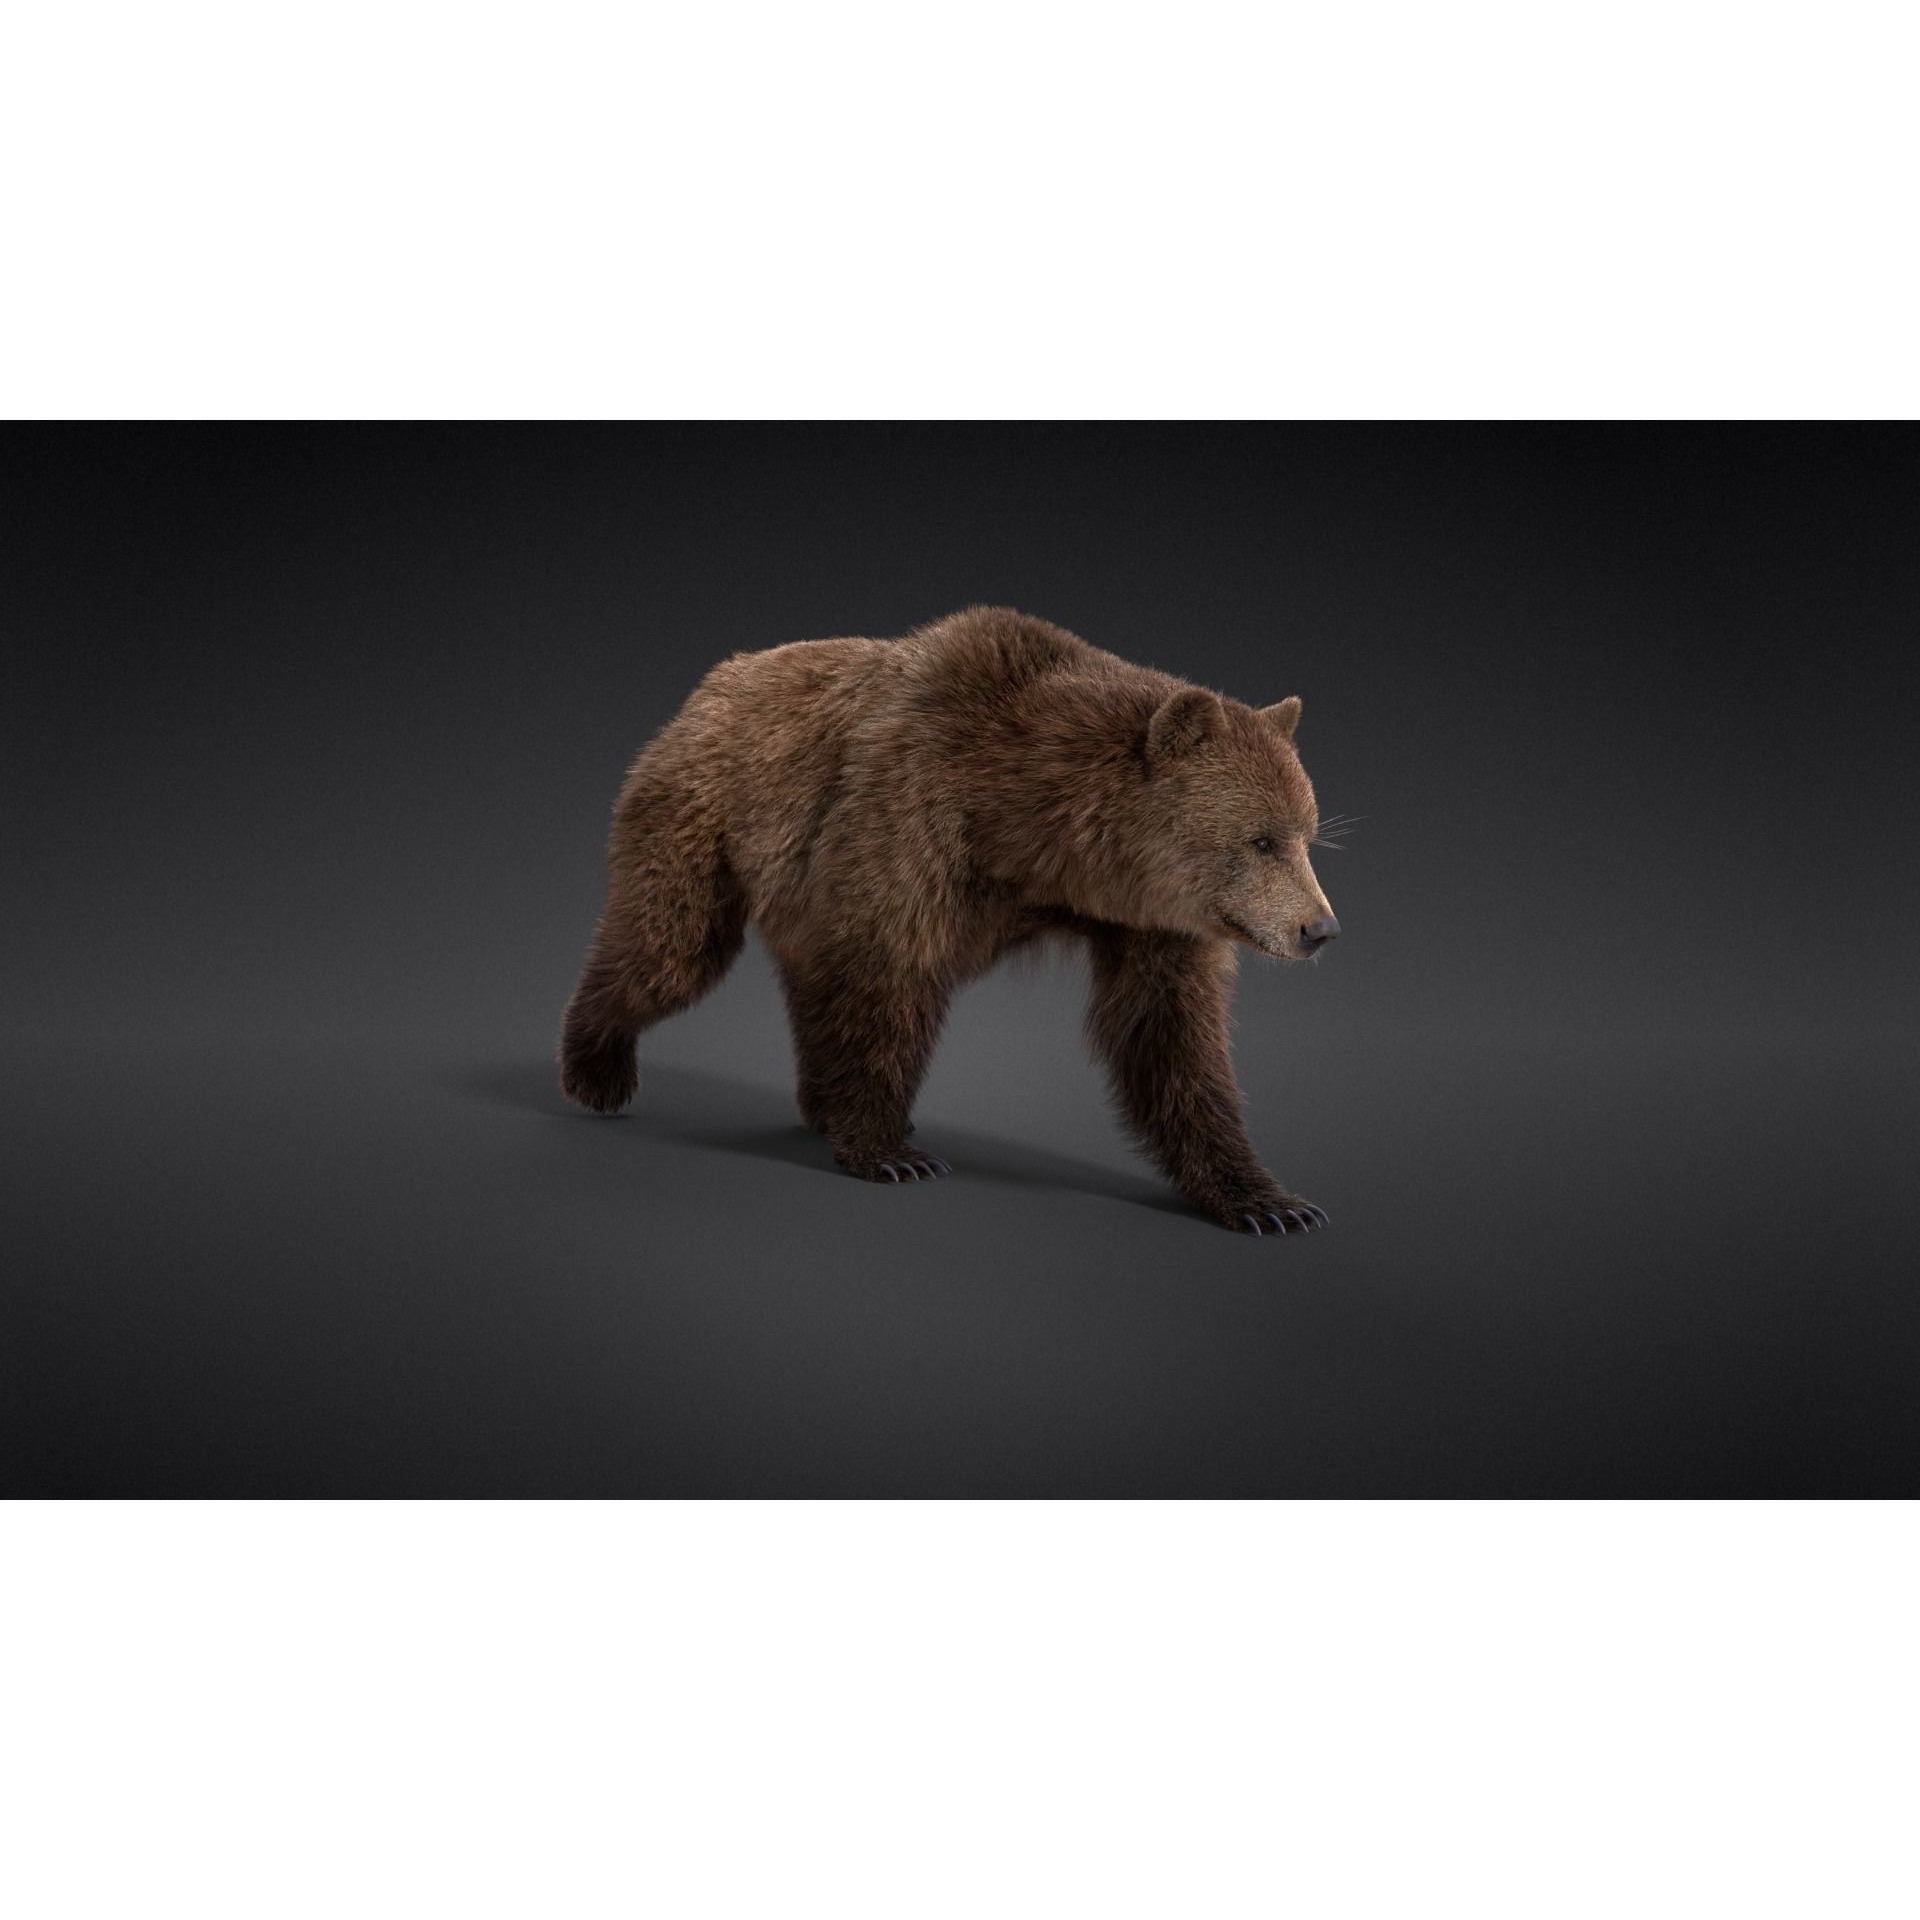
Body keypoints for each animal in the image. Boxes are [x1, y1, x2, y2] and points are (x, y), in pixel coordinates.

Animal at [559, 606, 1343, 1236]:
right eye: (1262, 839)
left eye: (1309, 834)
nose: (1320, 930)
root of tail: (713, 682)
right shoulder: (910, 815)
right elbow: (886, 977)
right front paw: (891, 1153)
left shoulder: (1155, 920)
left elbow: (1171, 1038)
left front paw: (1271, 1201)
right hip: (706, 812)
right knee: (670, 950)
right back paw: (596, 1069)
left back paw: (818, 1103)